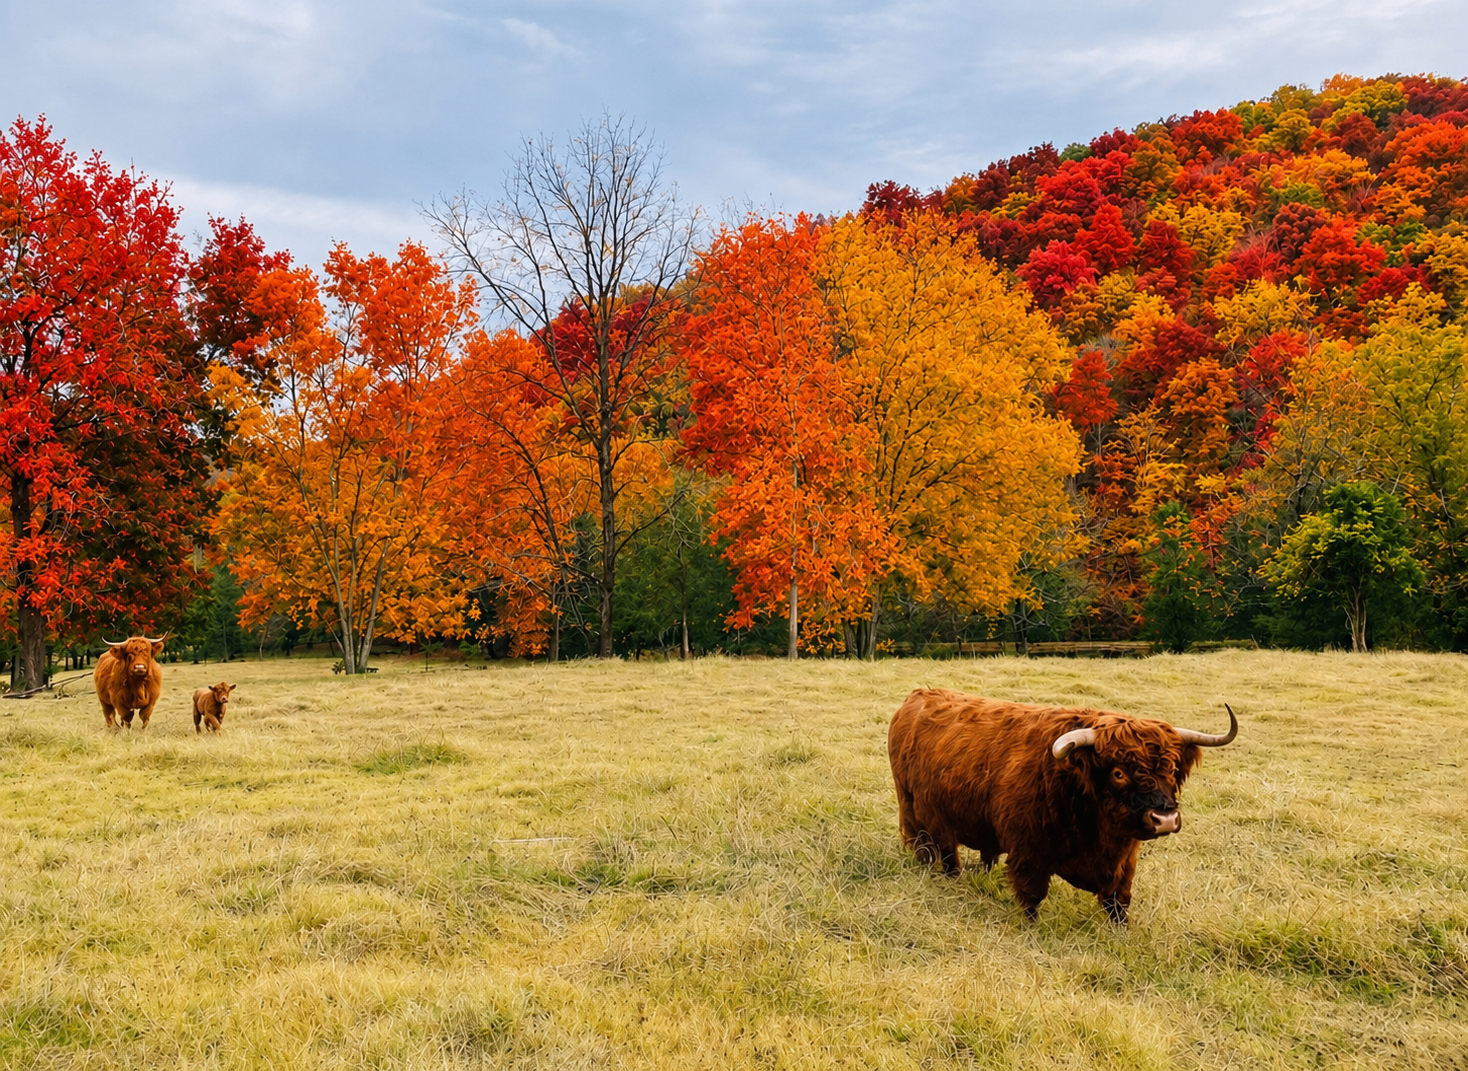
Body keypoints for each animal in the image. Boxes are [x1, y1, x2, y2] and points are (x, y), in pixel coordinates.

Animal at [888, 688, 1237, 925]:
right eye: (1118, 773)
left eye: (1171, 768)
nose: (1164, 818)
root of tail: (918, 696)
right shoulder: (1028, 852)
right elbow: (1031, 898)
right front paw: (1031, 929)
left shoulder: (1125, 859)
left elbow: (1119, 902)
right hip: (919, 813)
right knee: (942, 856)